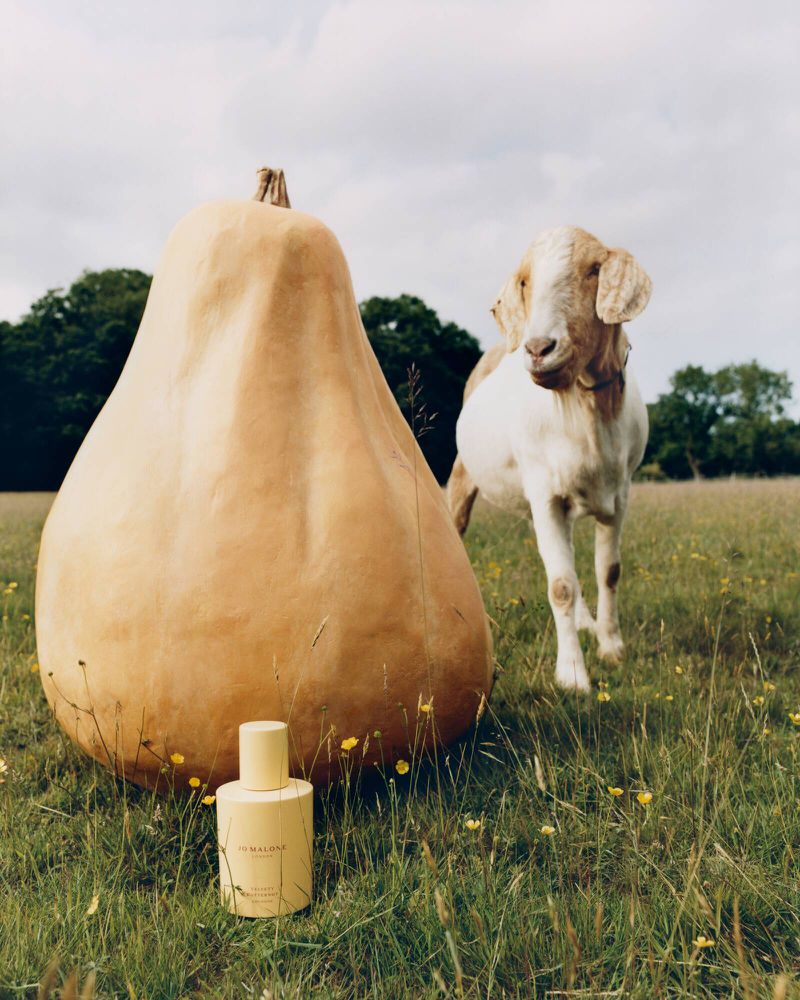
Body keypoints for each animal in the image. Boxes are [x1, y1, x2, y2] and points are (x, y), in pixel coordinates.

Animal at [447, 226, 652, 691]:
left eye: (594, 270)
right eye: (524, 281)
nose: (539, 348)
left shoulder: (621, 494)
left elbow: (608, 571)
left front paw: (611, 647)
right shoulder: (545, 494)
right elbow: (560, 585)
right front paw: (573, 676)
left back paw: (586, 623)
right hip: (465, 473)